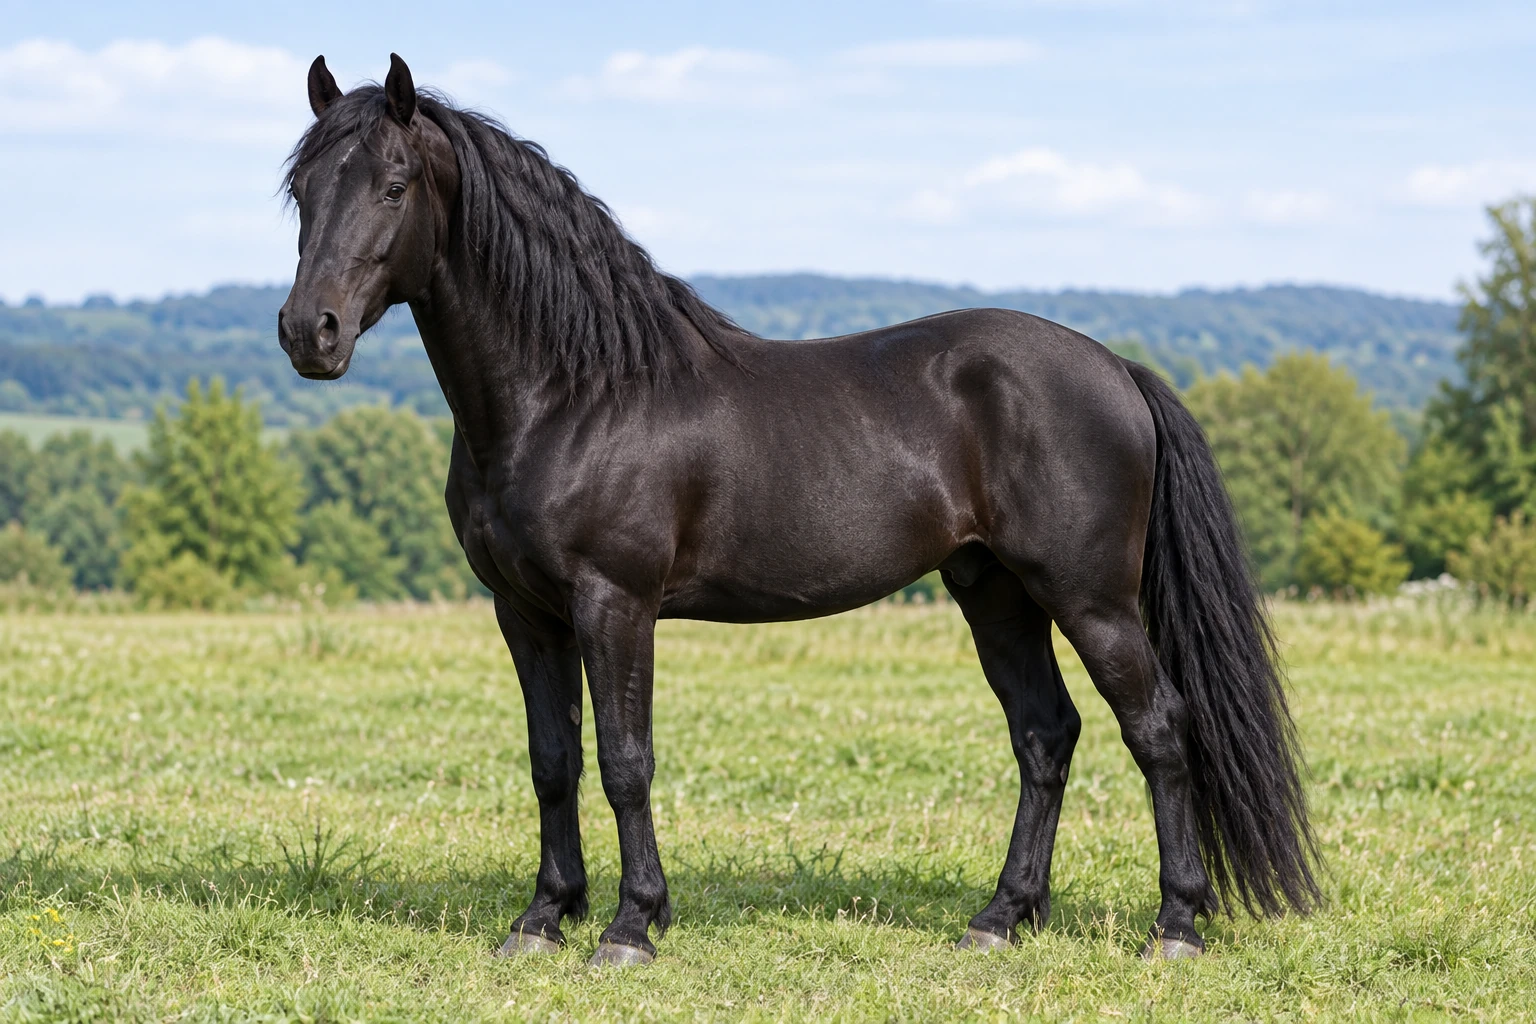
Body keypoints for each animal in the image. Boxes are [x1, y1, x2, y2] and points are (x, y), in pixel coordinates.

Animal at [278, 54, 1319, 967]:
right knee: (1045, 735)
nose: (306, 333)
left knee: (1159, 730)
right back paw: (1000, 919)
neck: (575, 393)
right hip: (995, 591)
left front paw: (630, 927)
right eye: (302, 191)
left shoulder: (615, 604)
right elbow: (553, 761)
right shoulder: (524, 613)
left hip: (1090, 598)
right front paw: (541, 919)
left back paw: (1174, 927)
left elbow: (625, 762)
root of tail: (1117, 369)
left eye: (395, 185)